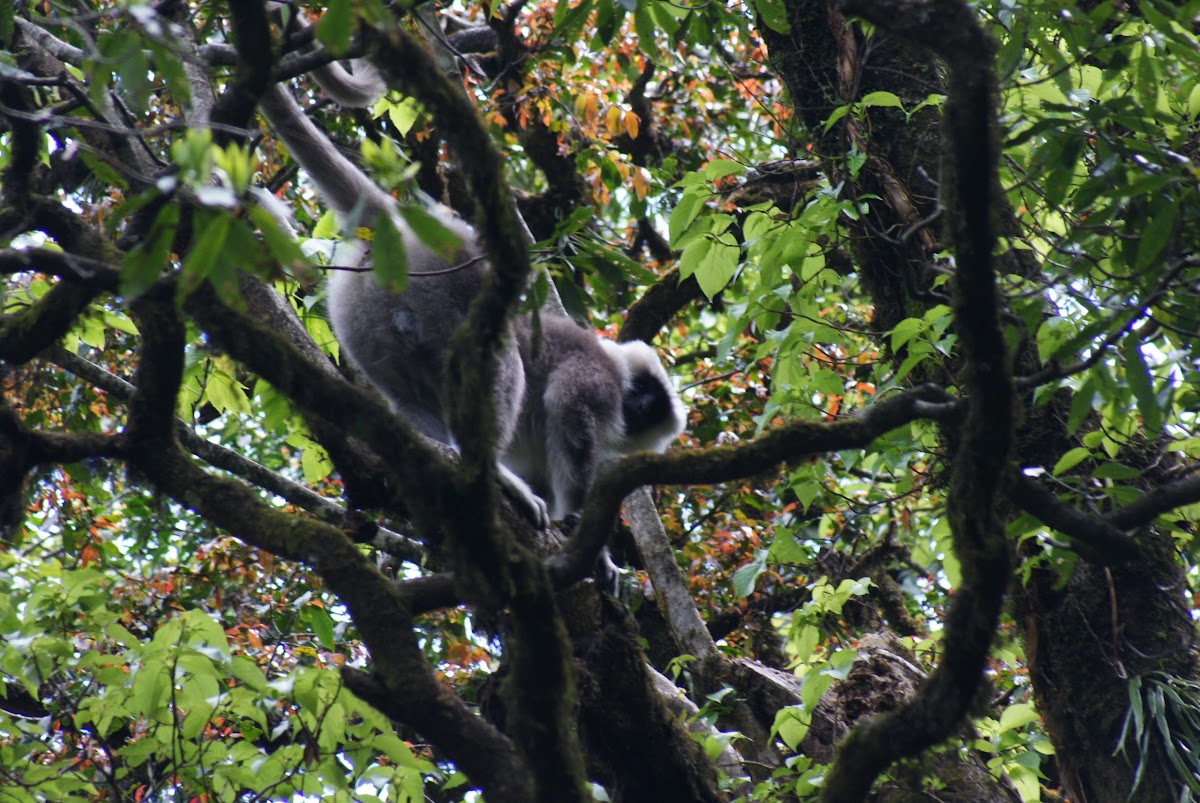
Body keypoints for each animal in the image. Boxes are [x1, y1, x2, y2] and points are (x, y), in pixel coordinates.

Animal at [258, 72, 686, 576]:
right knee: (502, 359)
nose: (636, 409)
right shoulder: (595, 380)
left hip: (363, 314)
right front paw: (596, 555)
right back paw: (494, 475)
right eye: (643, 400)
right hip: (440, 287)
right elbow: (568, 411)